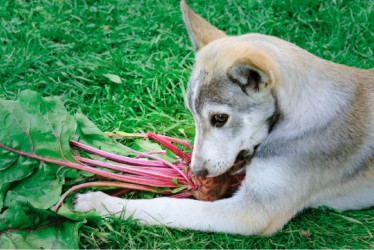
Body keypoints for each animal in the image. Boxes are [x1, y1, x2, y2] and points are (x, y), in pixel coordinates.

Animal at [75, 0, 374, 235]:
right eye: (192, 115)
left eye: (219, 118)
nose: (195, 173)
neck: (294, 116)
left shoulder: (253, 212)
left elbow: (171, 206)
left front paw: (100, 204)